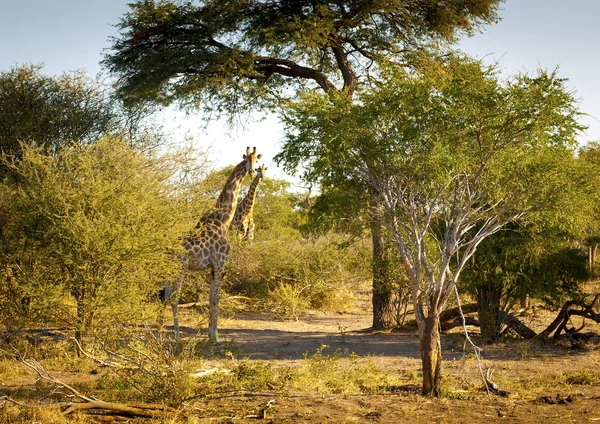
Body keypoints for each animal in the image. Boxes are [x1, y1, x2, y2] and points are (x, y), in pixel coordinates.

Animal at [164, 147, 260, 342]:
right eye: (246, 159)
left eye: (257, 159)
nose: (252, 171)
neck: (224, 219)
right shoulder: (220, 262)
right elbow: (216, 298)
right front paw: (216, 337)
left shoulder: (213, 267)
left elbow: (210, 298)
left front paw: (211, 334)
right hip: (180, 269)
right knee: (174, 298)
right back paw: (176, 336)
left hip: (167, 273)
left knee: (165, 297)